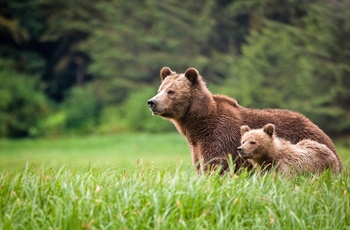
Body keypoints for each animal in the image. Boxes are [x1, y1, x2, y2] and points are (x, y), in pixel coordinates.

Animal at [147, 66, 342, 172]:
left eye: (171, 91)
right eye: (160, 88)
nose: (152, 102)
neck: (196, 126)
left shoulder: (219, 138)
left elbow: (216, 166)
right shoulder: (197, 147)